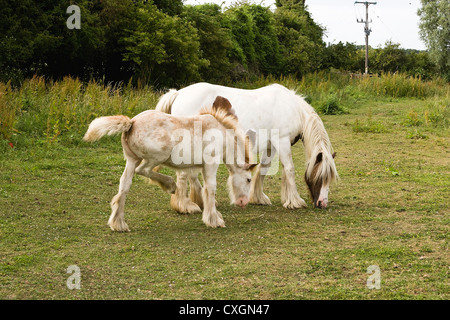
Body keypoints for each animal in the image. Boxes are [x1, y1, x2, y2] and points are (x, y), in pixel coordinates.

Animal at [82, 95, 255, 230]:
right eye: (248, 179)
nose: (243, 202)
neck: (220, 134)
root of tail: (131, 123)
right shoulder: (210, 164)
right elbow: (210, 189)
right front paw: (214, 219)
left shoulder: (193, 166)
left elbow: (195, 184)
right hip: (156, 157)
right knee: (144, 170)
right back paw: (170, 185)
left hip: (131, 160)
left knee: (124, 185)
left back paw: (118, 223)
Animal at [155, 82, 338, 212]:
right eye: (321, 176)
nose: (322, 203)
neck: (292, 108)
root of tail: (178, 93)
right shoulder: (282, 141)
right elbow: (290, 169)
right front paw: (295, 201)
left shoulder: (272, 146)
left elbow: (264, 169)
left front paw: (259, 198)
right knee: (184, 174)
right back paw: (185, 206)